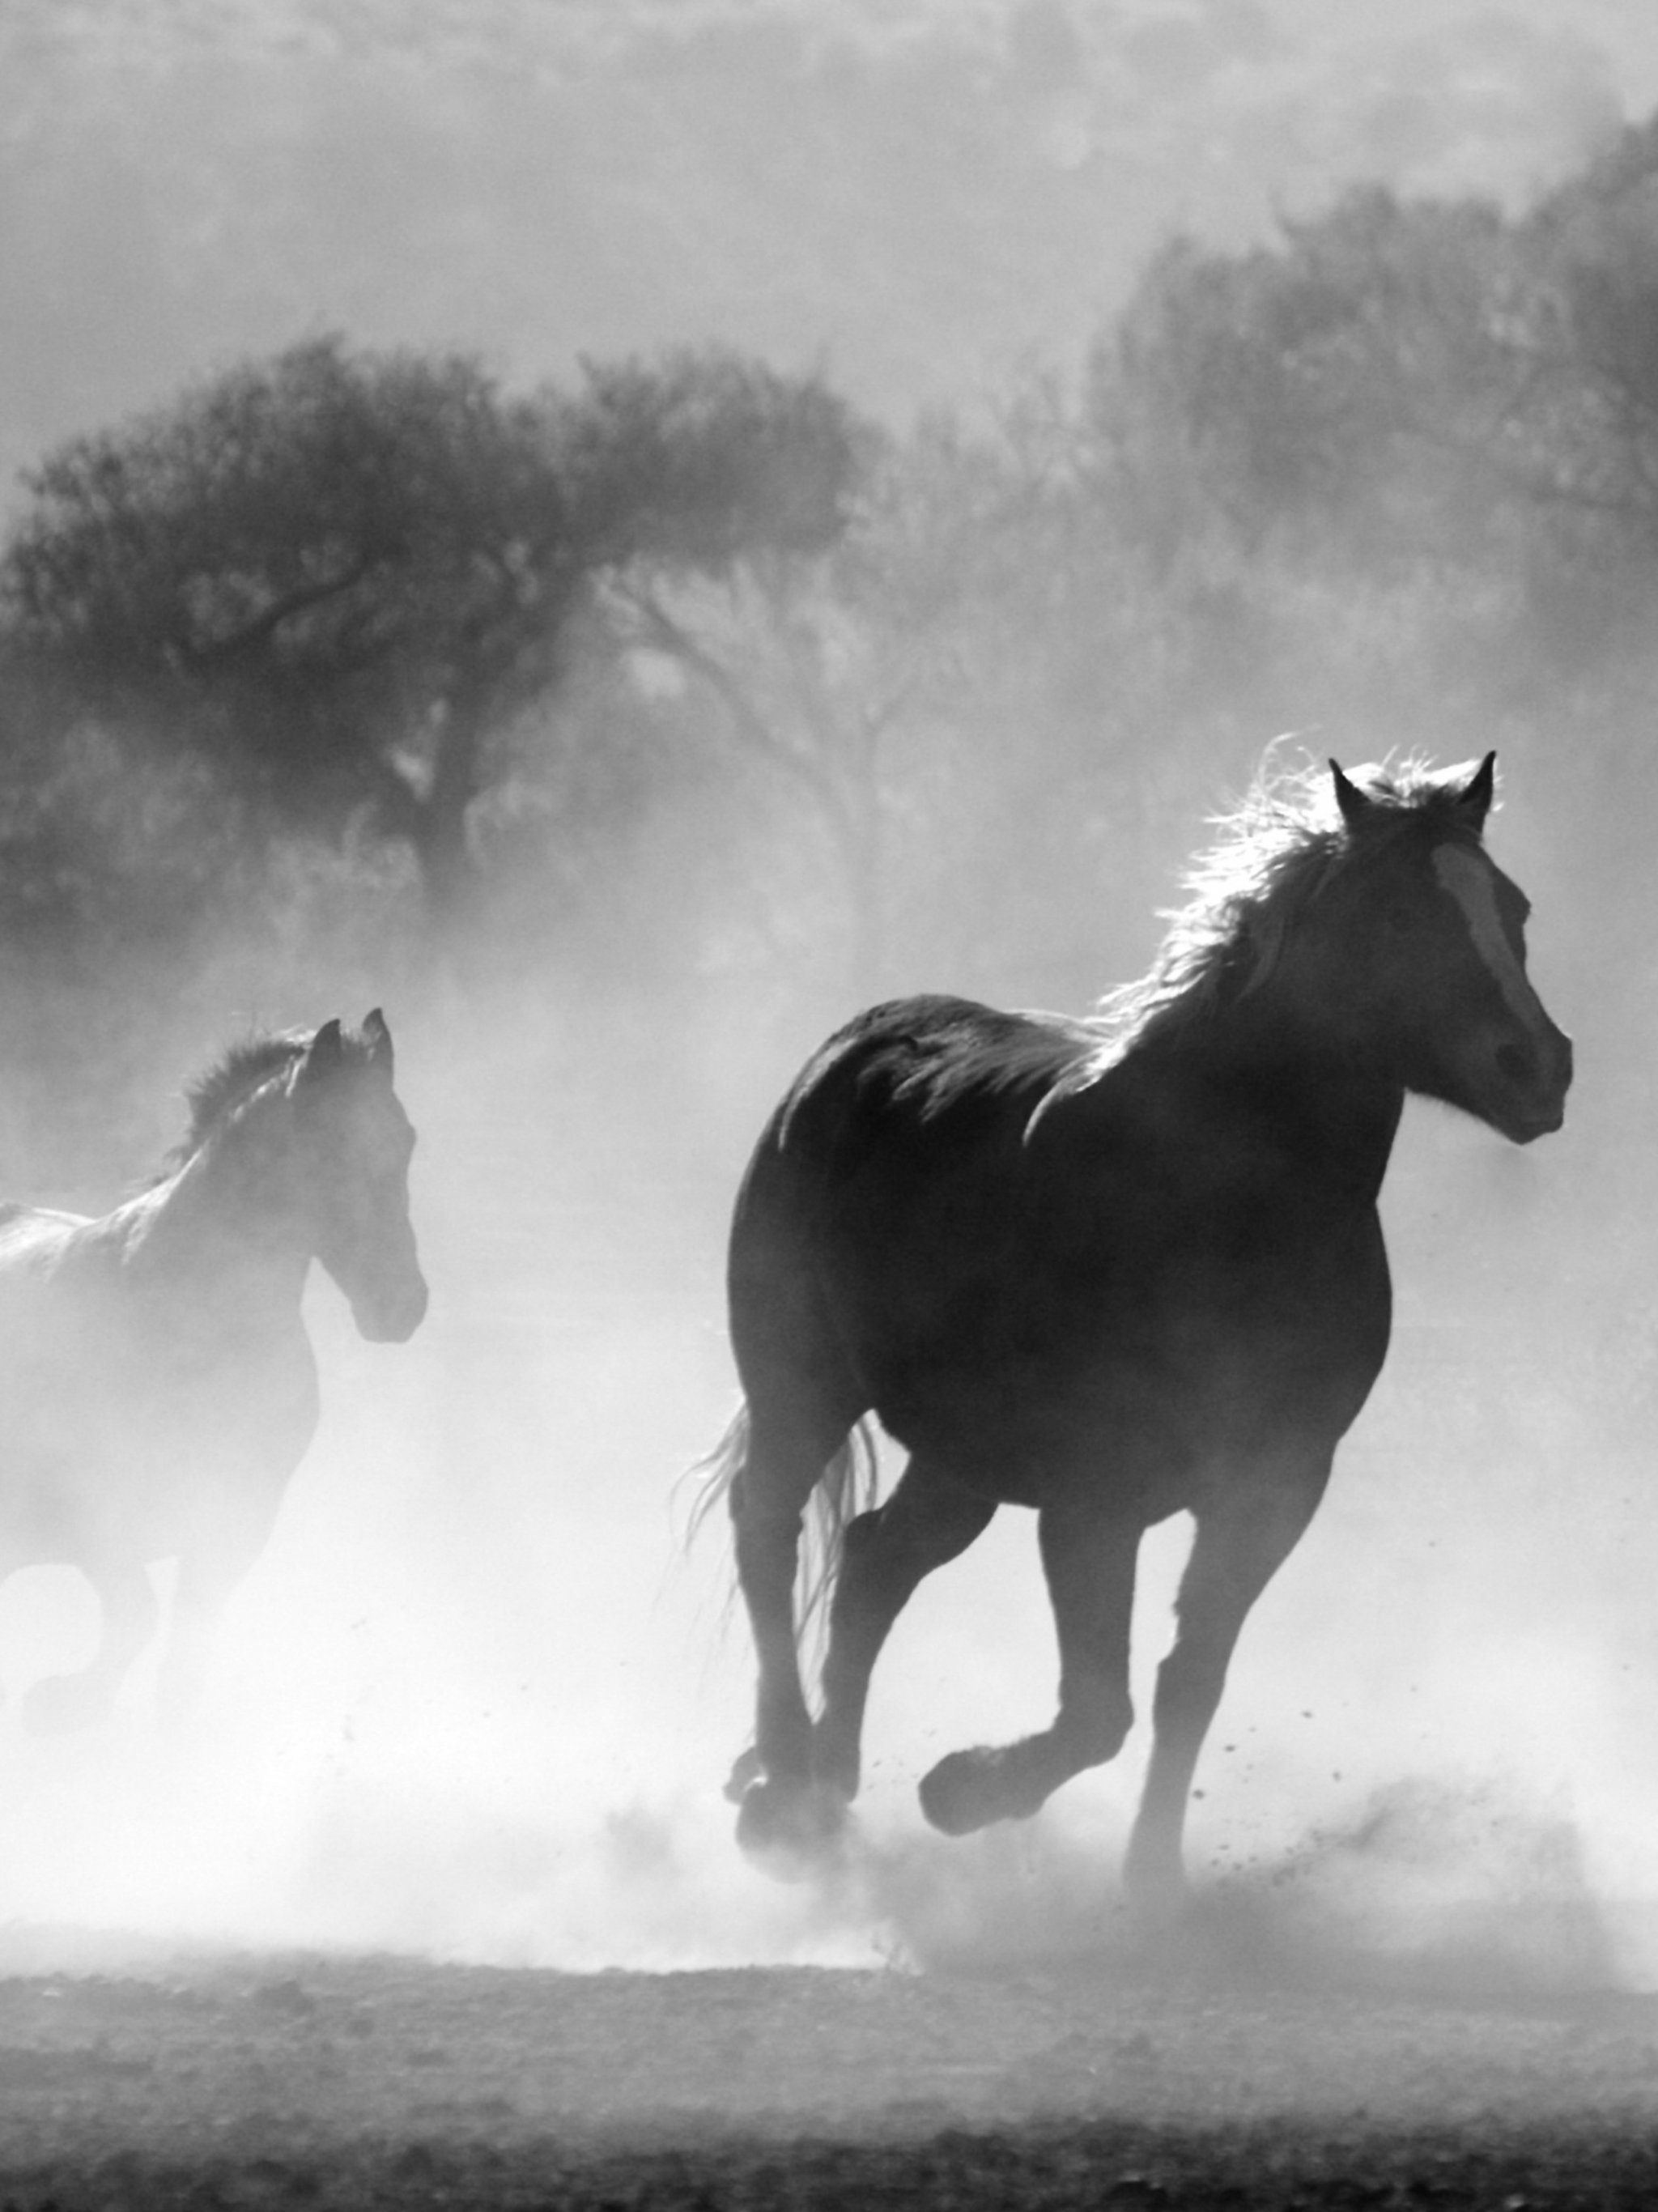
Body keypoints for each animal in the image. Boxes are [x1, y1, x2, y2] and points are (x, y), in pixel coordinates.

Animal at [0, 1009, 427, 1731]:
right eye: (331, 1147)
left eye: (406, 1142)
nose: (404, 1306)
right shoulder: (94, 1519)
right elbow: (136, 1620)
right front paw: (58, 1704)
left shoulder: (234, 1528)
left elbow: (182, 1665)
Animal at [693, 751, 1571, 1914]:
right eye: (1395, 913)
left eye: (1511, 907)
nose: (1539, 1068)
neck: (1221, 1205)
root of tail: (848, 1051)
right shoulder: (1093, 1498)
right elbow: (1097, 1708)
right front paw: (962, 1790)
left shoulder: (1273, 1487)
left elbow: (1186, 1681)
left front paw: (1151, 1882)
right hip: (804, 1385)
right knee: (769, 1530)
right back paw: (785, 1788)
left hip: (961, 1455)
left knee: (874, 1558)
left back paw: (830, 1788)